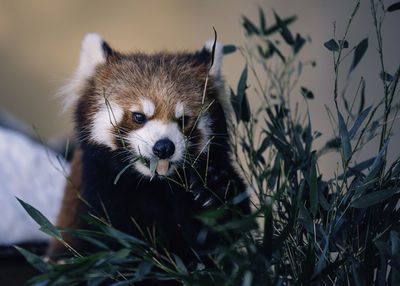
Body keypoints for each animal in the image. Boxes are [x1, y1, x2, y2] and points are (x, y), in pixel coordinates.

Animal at [47, 33, 250, 264]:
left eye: (183, 119)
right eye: (138, 116)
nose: (164, 147)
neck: (153, 184)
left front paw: (215, 187)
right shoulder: (100, 188)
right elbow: (115, 239)